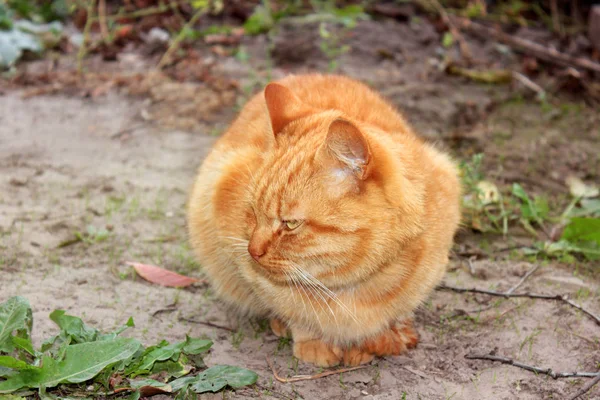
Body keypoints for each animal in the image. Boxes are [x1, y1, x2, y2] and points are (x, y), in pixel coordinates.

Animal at [188, 73, 460, 368]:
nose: (253, 251)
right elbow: (296, 314)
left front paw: (372, 343)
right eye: (252, 211)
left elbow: (395, 316)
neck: (352, 289)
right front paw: (313, 343)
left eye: (290, 224)